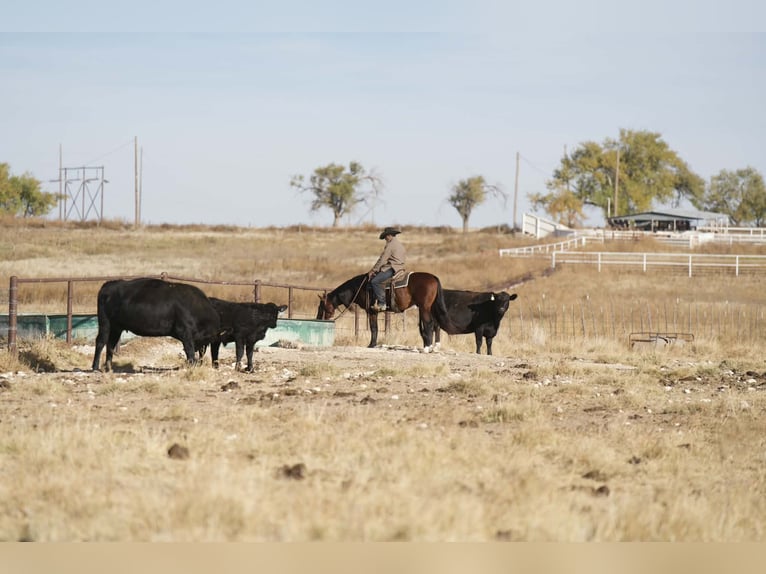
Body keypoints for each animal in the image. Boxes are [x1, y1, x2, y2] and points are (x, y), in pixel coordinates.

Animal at [316, 272, 455, 350]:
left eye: (321, 306)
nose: (318, 319)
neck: (359, 287)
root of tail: (433, 277)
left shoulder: (372, 311)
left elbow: (374, 328)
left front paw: (371, 344)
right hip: (430, 308)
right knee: (436, 325)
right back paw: (435, 346)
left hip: (424, 307)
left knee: (429, 324)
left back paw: (427, 347)